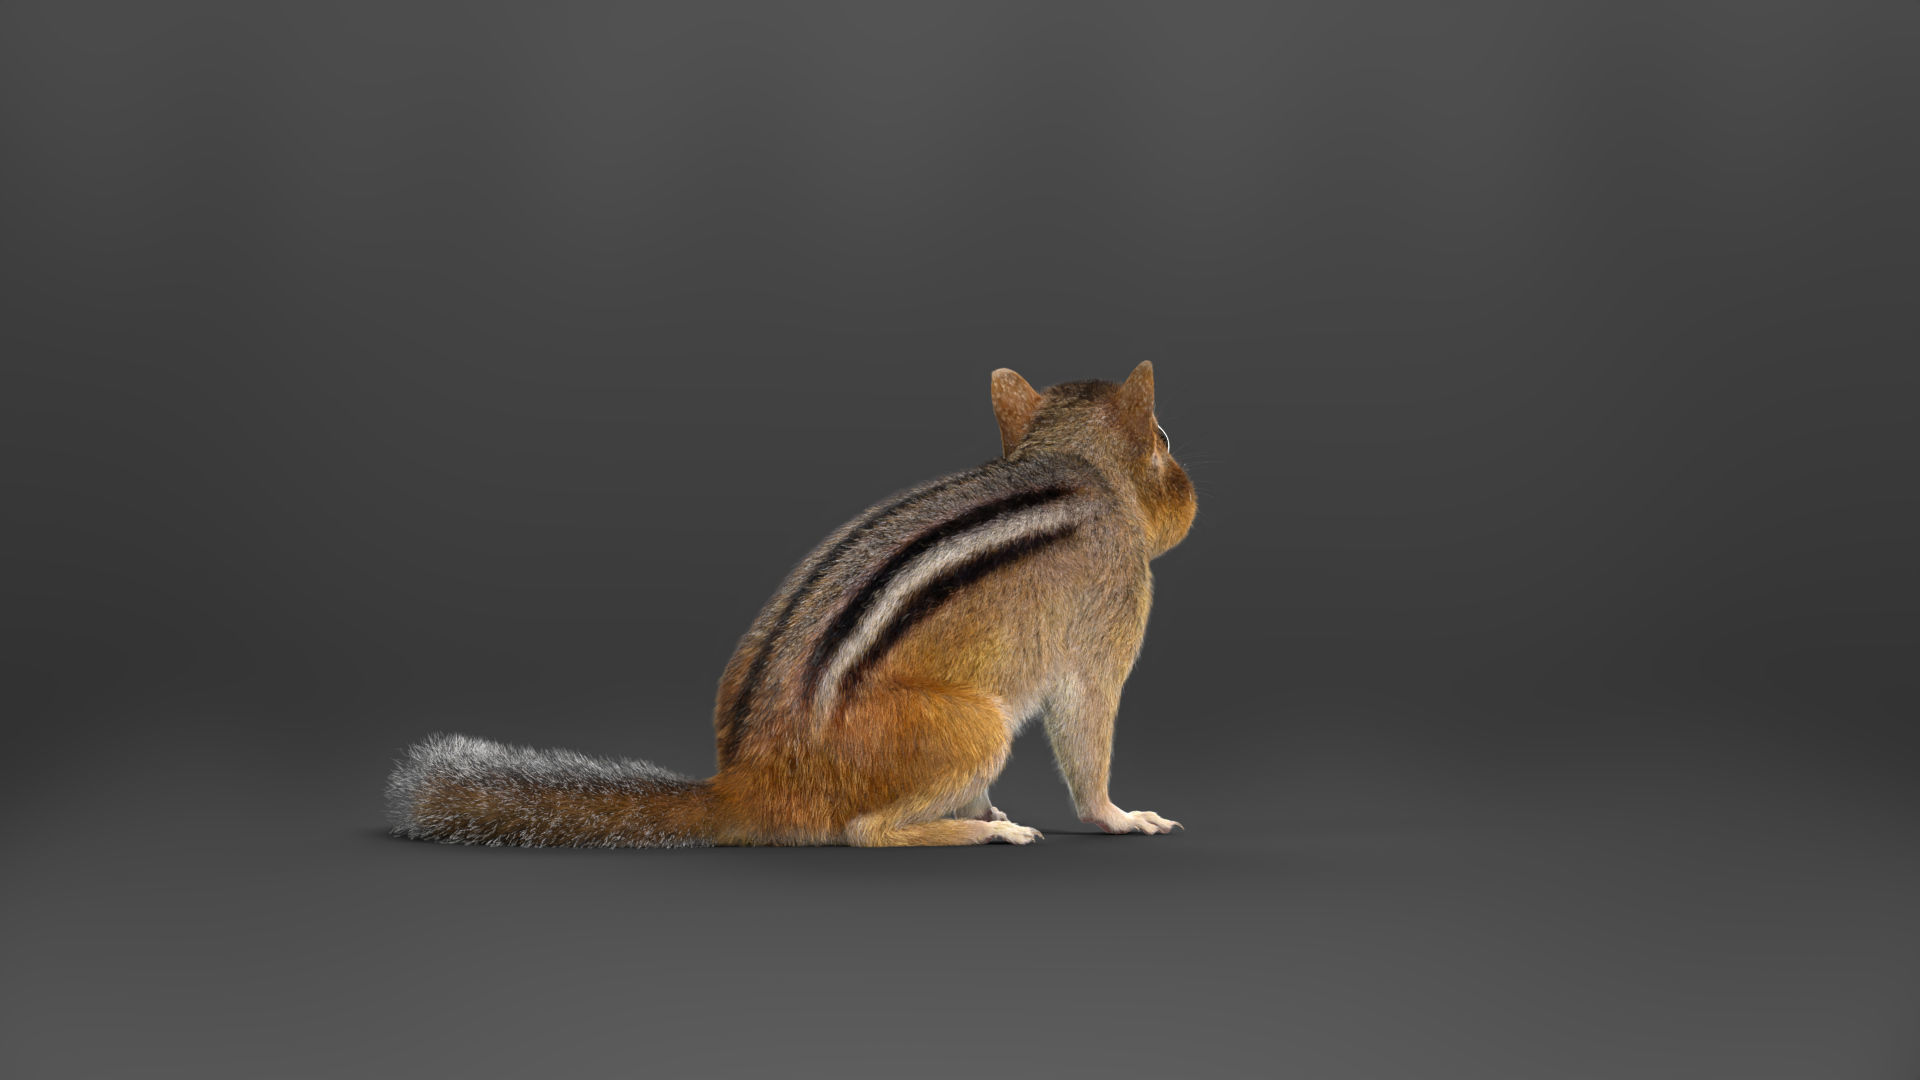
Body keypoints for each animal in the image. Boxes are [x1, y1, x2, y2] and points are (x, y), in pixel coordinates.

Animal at [386, 361, 1197, 847]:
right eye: (1163, 435)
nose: (1196, 493)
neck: (1078, 466)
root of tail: (758, 780)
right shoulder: (1107, 630)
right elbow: (1086, 735)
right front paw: (1121, 816)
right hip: (973, 725)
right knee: (867, 831)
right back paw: (983, 830)